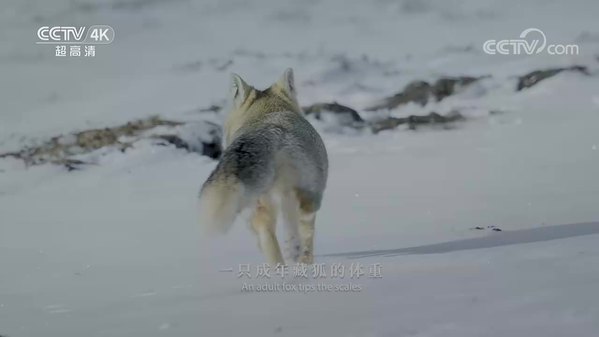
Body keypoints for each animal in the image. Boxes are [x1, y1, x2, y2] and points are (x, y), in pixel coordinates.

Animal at [197, 69, 328, 266]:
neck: (269, 112)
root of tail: (268, 135)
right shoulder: (313, 198)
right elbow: (308, 235)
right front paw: (305, 261)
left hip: (259, 206)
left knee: (270, 241)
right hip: (290, 193)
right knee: (291, 220)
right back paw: (293, 252)